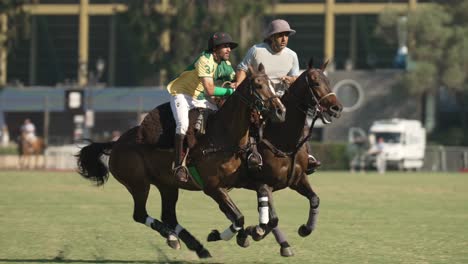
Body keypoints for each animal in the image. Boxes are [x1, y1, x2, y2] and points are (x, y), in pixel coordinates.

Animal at [75, 64, 286, 258]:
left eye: (273, 84)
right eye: (258, 85)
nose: (280, 111)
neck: (225, 136)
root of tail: (116, 142)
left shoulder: (246, 178)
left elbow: (266, 205)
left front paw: (256, 230)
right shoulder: (212, 187)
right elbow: (238, 217)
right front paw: (221, 235)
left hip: (167, 185)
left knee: (168, 215)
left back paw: (195, 246)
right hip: (138, 184)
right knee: (140, 214)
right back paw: (172, 237)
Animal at [210, 59, 342, 256]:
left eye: (328, 81)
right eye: (316, 83)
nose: (337, 108)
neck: (282, 139)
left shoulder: (297, 179)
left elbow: (314, 199)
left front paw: (305, 229)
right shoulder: (265, 183)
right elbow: (271, 220)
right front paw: (254, 232)